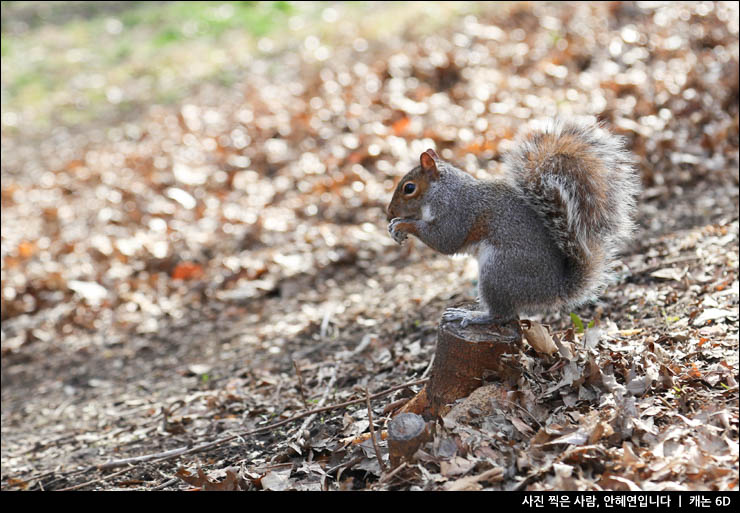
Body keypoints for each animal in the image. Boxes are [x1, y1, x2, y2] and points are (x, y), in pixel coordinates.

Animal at [388, 118, 640, 326]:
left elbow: (444, 240)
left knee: (503, 315)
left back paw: (472, 316)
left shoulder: (457, 212)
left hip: (497, 272)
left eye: (409, 188)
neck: (442, 190)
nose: (389, 213)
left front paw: (402, 224)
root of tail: (553, 288)